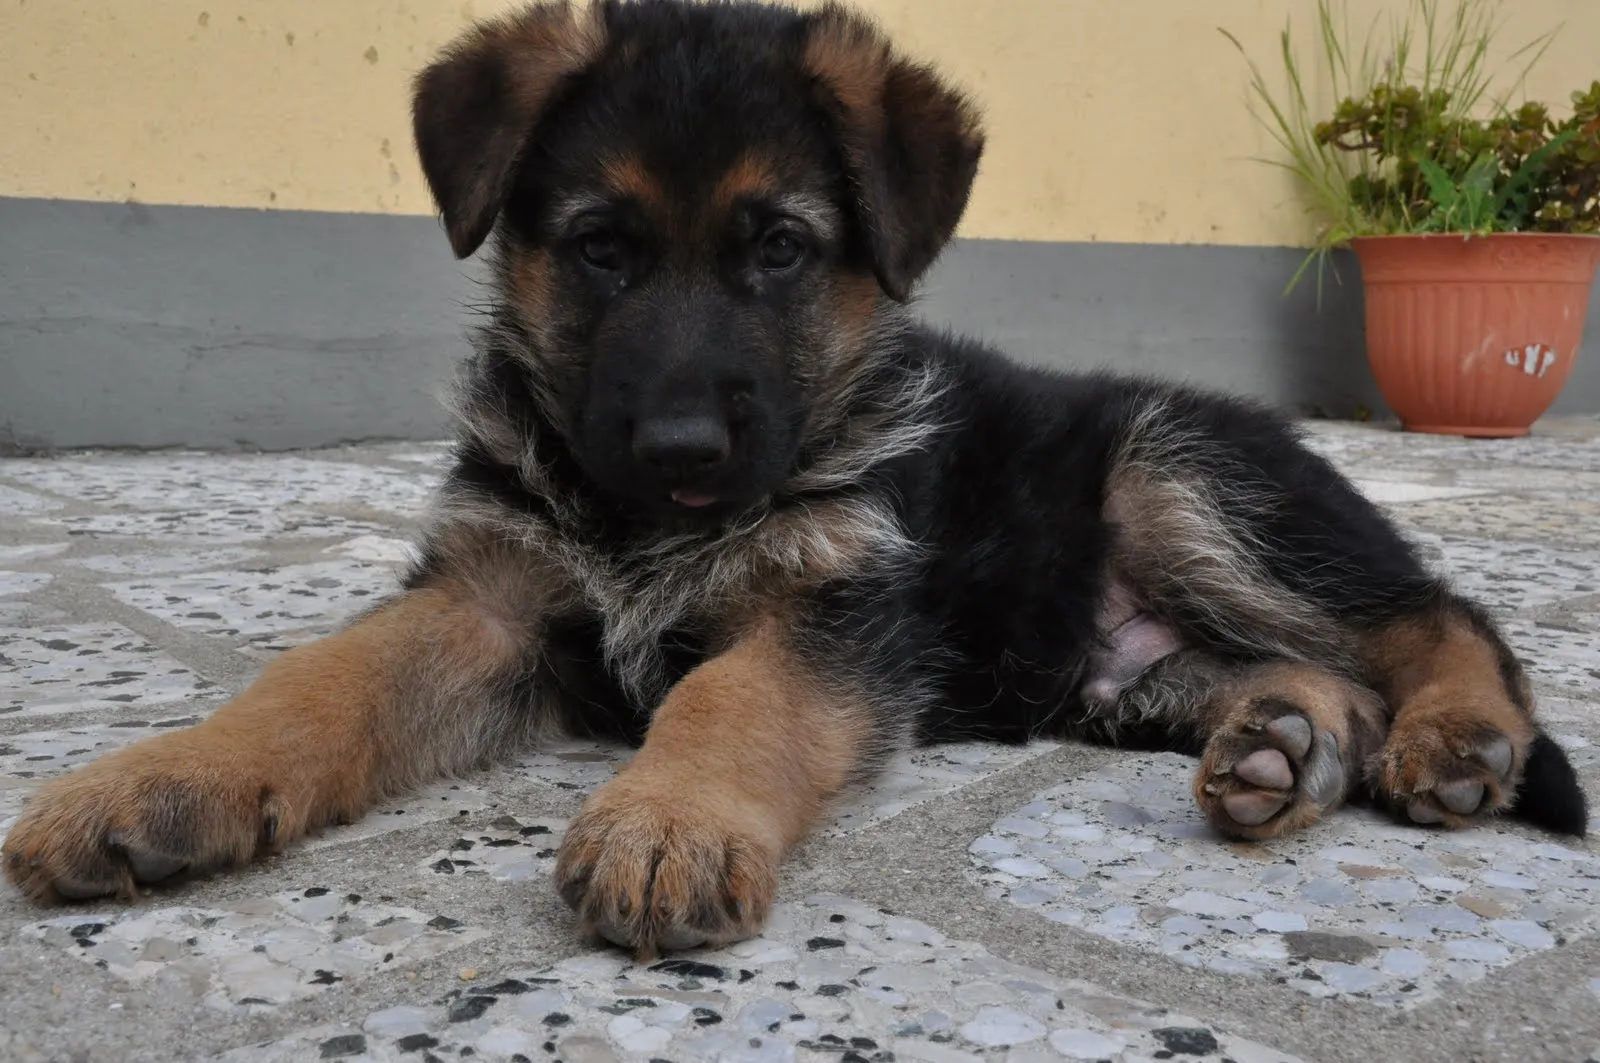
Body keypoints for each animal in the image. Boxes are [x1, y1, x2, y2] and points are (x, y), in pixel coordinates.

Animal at [0, 0, 1580, 954]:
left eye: (777, 249)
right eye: (600, 247)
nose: (686, 453)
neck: (647, 524)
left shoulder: (832, 608)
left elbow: (729, 698)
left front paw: (670, 819)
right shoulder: (487, 598)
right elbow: (316, 682)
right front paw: (166, 777)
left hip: (1180, 481)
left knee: (1436, 613)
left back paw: (1454, 736)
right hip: (1119, 669)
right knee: (1323, 677)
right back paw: (1281, 748)